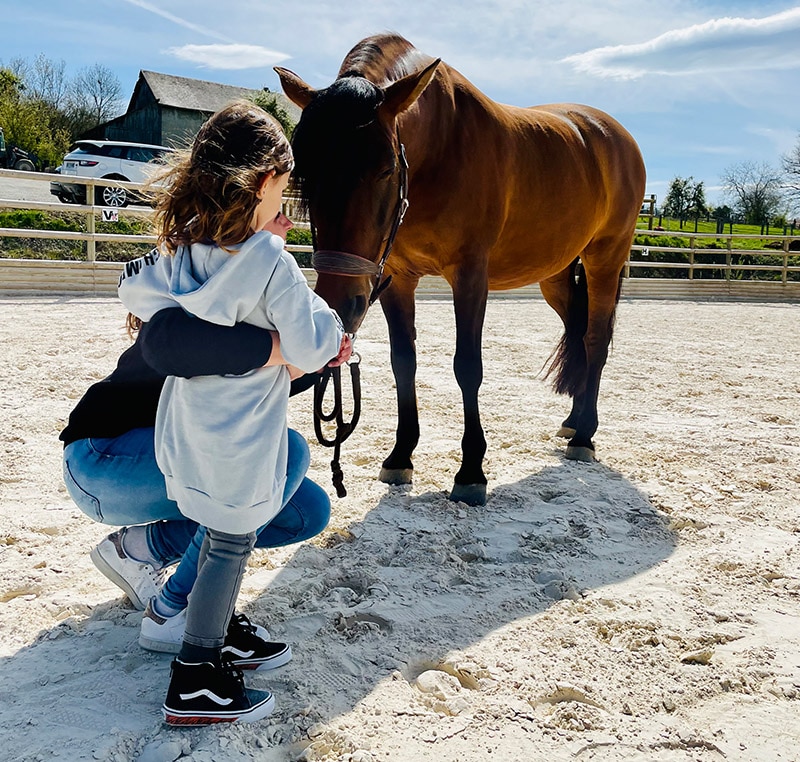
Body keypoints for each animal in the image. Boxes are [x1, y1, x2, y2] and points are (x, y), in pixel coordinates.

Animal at [278, 34, 648, 504]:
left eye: (385, 169)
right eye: (305, 174)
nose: (340, 303)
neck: (442, 144)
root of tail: (612, 134)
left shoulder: (470, 275)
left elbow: (467, 366)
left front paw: (471, 470)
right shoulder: (398, 279)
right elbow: (404, 362)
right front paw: (400, 456)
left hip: (605, 259)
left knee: (596, 341)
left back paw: (584, 435)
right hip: (556, 277)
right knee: (579, 335)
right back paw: (573, 422)